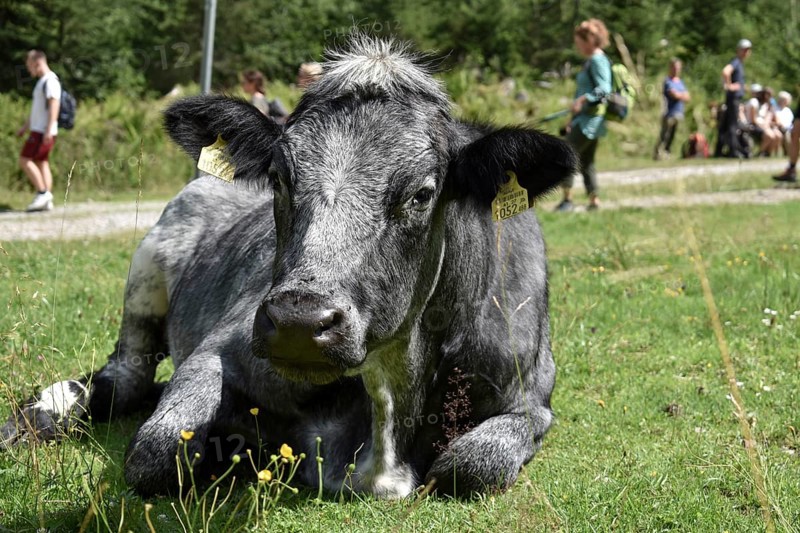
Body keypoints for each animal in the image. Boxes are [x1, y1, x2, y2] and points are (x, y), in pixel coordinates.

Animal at [1, 36, 577, 498]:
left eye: (422, 193)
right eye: (279, 177)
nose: (300, 323)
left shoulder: (531, 398)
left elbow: (470, 466)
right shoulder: (222, 346)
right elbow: (154, 451)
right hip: (145, 273)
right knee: (126, 377)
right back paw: (35, 416)